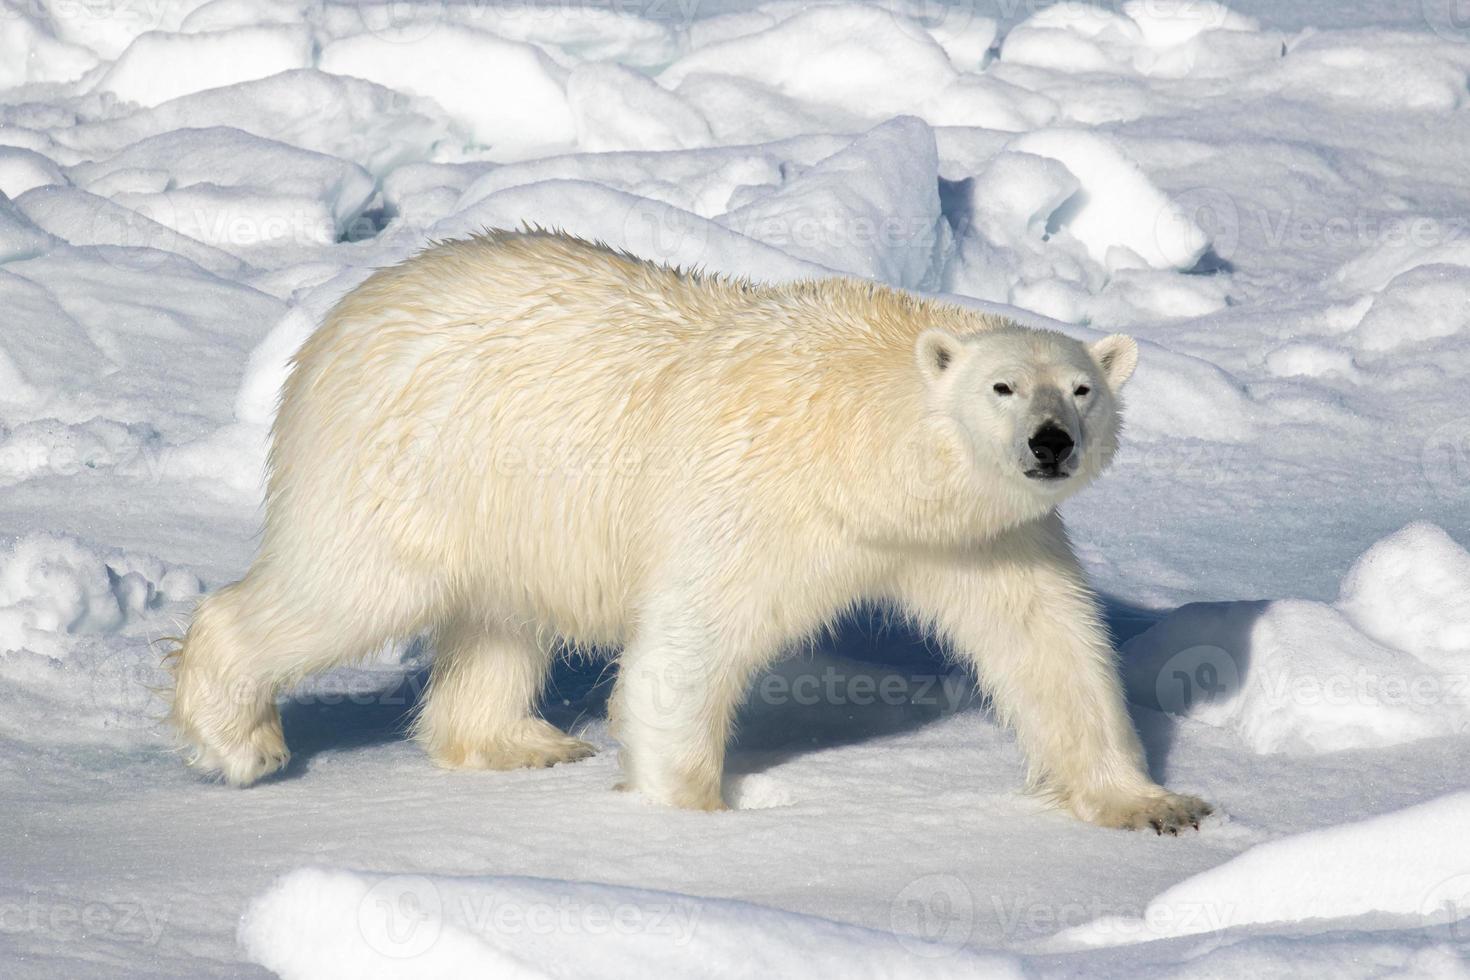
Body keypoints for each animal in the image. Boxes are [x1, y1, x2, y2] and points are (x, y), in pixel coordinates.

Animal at [166, 230, 1211, 834]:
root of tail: (341, 319)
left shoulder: (979, 539)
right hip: (410, 464)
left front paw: (1155, 805)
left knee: (501, 619)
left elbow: (1049, 645)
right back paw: (242, 741)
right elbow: (692, 639)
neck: (860, 444)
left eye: (1082, 387)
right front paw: (693, 815)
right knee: (345, 587)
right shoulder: (758, 500)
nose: (1050, 442)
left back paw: (519, 741)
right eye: (1001, 386)